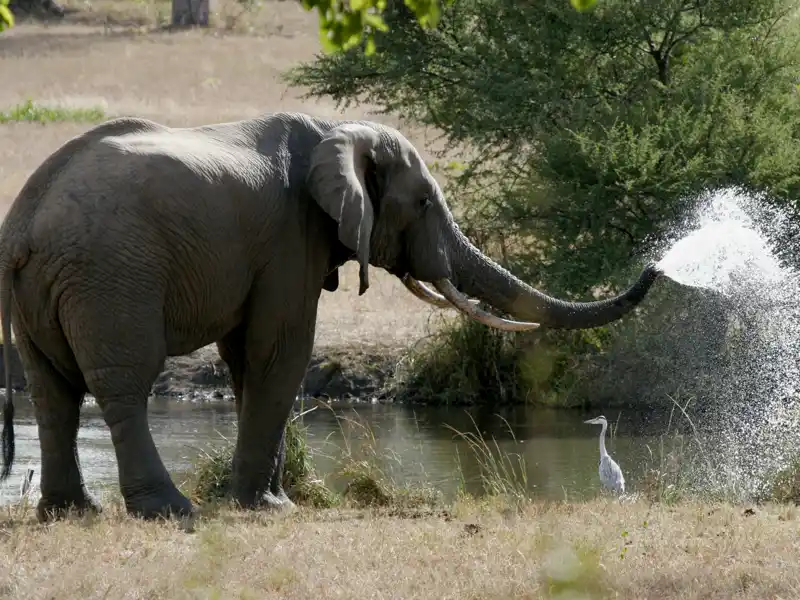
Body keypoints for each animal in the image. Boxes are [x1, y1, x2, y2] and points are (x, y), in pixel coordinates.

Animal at [0, 111, 664, 520]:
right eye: (425, 202)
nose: (657, 266)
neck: (334, 129)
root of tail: (25, 223)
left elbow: (247, 359)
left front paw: (270, 500)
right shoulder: (289, 238)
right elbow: (281, 350)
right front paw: (270, 508)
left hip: (51, 290)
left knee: (51, 391)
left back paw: (70, 512)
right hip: (112, 278)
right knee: (124, 385)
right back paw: (169, 510)